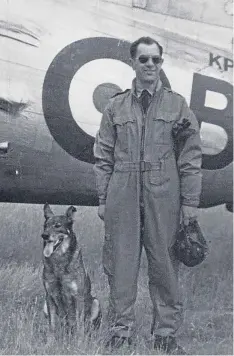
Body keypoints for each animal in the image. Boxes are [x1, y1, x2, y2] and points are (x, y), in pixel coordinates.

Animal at [41, 204, 101, 336]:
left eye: (57, 225)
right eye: (45, 225)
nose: (44, 235)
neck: (59, 261)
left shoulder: (78, 297)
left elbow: (79, 326)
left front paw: (79, 341)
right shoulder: (50, 296)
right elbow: (52, 327)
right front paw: (50, 341)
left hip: (95, 302)